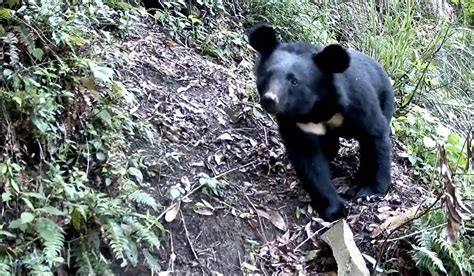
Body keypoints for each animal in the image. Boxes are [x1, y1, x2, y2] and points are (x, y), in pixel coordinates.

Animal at [246, 24, 394, 222]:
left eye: (294, 81)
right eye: (267, 75)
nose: (270, 99)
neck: (318, 107)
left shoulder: (358, 102)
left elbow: (375, 134)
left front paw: (370, 191)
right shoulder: (295, 121)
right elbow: (309, 160)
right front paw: (334, 209)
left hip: (385, 99)